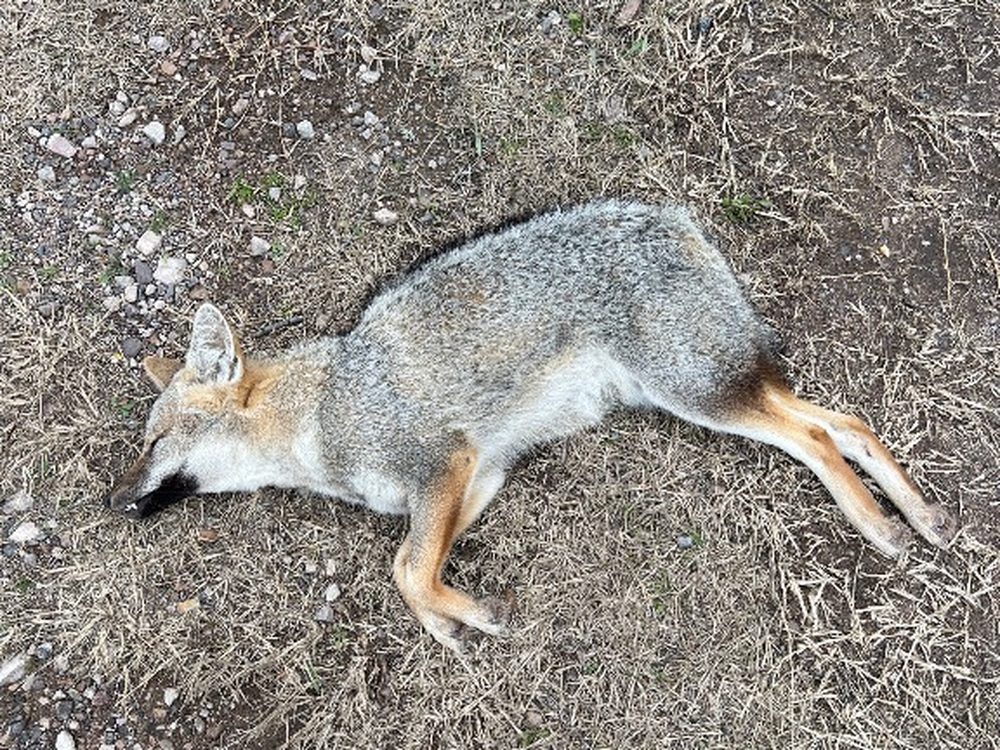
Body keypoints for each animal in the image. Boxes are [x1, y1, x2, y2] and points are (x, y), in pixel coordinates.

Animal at [107, 200, 957, 652]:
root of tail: (674, 218)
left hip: (701, 395)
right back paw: (920, 515)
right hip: (713, 389)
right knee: (845, 421)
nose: (112, 499)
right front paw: (448, 623)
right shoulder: (480, 471)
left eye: (152, 443)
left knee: (814, 436)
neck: (322, 409)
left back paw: (879, 526)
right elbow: (412, 564)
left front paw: (469, 615)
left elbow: (405, 567)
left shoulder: (442, 465)